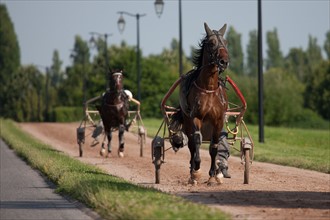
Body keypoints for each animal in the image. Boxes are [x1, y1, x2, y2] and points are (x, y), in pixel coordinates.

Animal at [170, 22, 229, 185]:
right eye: (212, 43)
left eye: (225, 42)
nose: (224, 61)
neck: (209, 88)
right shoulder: (196, 117)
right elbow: (197, 140)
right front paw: (196, 171)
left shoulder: (218, 120)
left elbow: (214, 146)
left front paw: (213, 175)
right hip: (187, 120)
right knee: (191, 144)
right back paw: (192, 172)